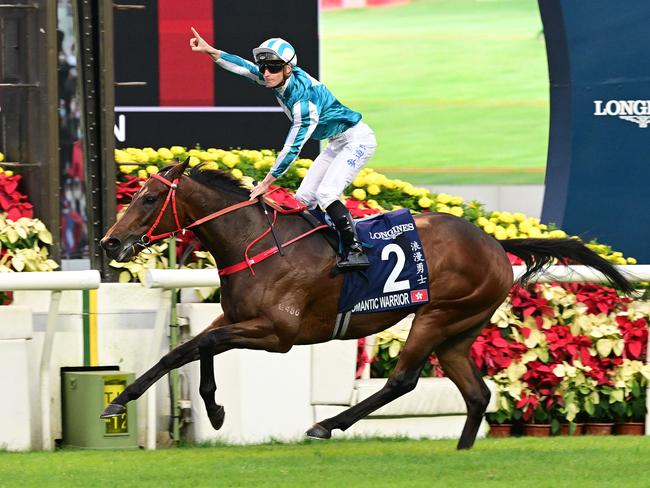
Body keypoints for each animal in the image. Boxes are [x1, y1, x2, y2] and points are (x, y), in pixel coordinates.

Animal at [98, 160, 632, 450]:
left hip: (437, 315)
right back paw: (461, 453)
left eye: (148, 199)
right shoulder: (236, 317)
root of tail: (494, 243)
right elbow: (199, 347)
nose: (110, 243)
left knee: (402, 381)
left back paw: (327, 424)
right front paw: (211, 410)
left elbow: (186, 349)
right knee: (477, 394)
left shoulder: (277, 334)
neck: (255, 241)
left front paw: (124, 401)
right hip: (460, 330)